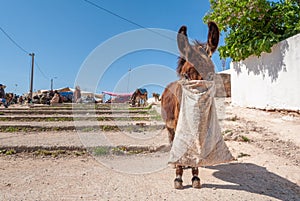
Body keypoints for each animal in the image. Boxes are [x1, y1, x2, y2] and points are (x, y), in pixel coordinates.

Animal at [161, 22, 219, 190]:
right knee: (172, 140)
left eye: (211, 75)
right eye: (185, 75)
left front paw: (195, 176)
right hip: (169, 126)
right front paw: (178, 178)